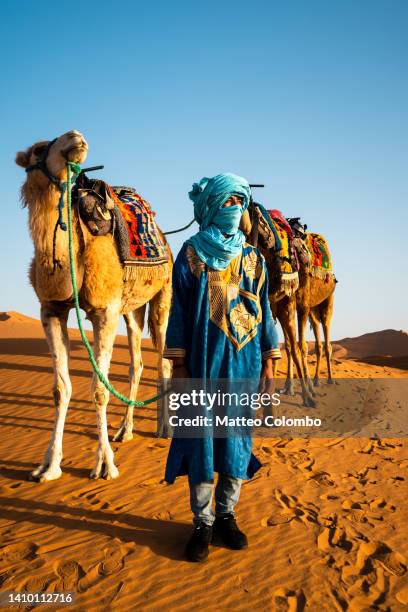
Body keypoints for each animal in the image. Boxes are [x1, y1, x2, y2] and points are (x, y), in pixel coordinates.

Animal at [15, 130, 172, 482]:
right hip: (131, 309)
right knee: (137, 363)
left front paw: (105, 465)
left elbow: (100, 389)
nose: (76, 138)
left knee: (165, 360)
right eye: (38, 149)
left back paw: (165, 430)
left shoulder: (104, 312)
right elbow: (61, 389)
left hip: (163, 295)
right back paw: (125, 430)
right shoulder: (51, 310)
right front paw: (49, 466)